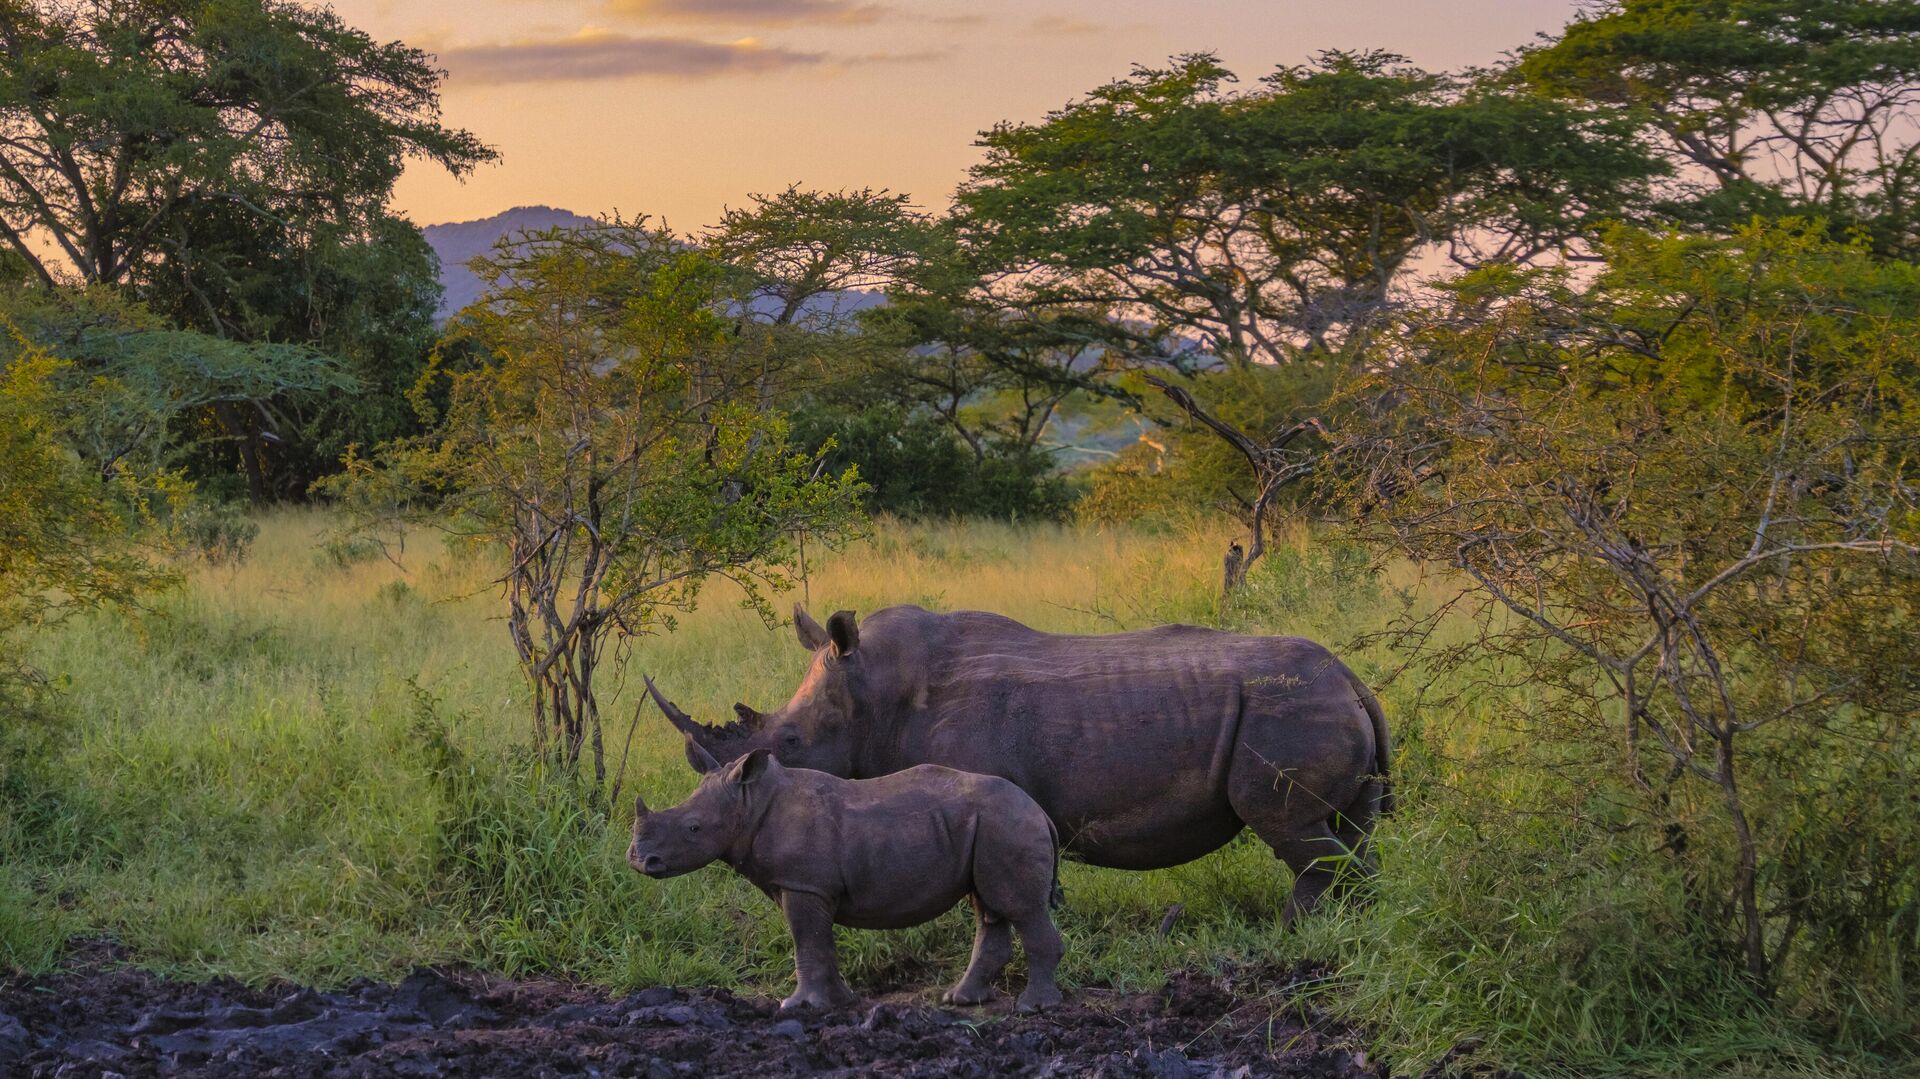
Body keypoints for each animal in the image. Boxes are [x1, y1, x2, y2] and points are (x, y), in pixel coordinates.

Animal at [625, 748, 1059, 1006]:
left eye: (694, 829)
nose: (640, 860)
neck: (750, 803)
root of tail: (1041, 811)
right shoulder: (807, 885)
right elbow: (818, 943)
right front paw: (842, 1002)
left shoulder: (803, 883)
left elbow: (807, 941)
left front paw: (799, 1007)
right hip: (991, 826)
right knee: (989, 906)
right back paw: (960, 1000)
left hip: (1007, 824)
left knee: (1020, 908)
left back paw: (1032, 1007)